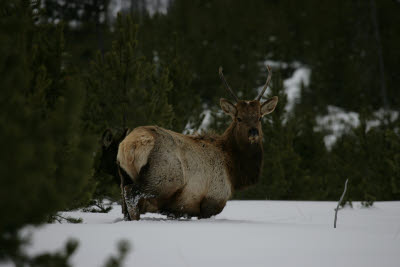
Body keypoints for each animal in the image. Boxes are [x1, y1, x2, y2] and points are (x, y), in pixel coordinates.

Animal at [115, 66, 278, 221]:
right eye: (239, 118)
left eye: (259, 117)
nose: (253, 133)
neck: (233, 169)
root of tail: (129, 146)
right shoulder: (211, 200)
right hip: (162, 179)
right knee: (131, 194)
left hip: (124, 177)